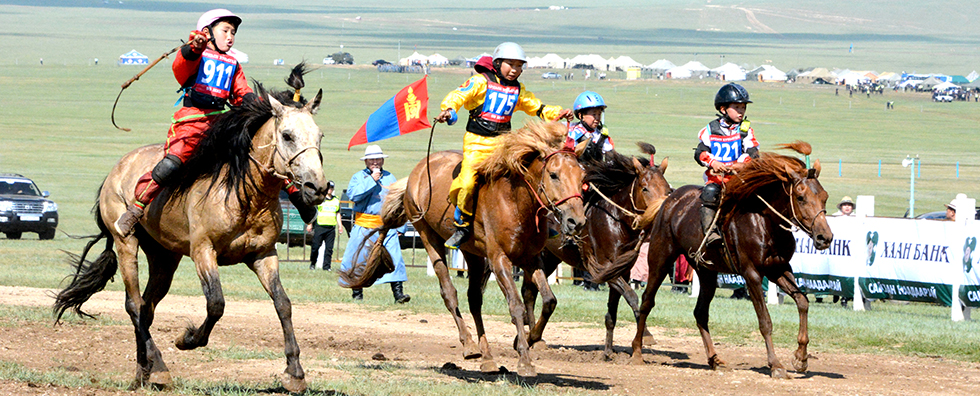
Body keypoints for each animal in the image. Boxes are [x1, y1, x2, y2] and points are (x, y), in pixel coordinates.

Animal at [53, 65, 328, 392]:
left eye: (320, 135)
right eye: (287, 135)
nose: (317, 187)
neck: (246, 192)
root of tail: (115, 171)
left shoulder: (264, 255)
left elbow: (283, 304)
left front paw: (295, 373)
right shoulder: (202, 251)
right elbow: (216, 303)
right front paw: (188, 339)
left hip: (164, 257)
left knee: (146, 308)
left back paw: (144, 370)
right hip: (126, 243)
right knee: (133, 304)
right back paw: (158, 367)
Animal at [340, 121, 584, 378]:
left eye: (582, 176)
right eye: (554, 174)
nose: (576, 221)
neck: (515, 202)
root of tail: (416, 174)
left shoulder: (531, 258)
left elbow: (549, 300)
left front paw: (526, 340)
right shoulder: (499, 259)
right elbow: (516, 305)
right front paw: (525, 361)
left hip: (472, 253)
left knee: (474, 298)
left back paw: (487, 358)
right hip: (428, 235)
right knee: (449, 292)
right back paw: (469, 345)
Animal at [520, 142, 672, 358]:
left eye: (667, 190)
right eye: (645, 188)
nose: (660, 215)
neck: (616, 222)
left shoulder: (622, 272)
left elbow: (612, 313)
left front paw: (608, 351)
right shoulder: (604, 270)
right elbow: (632, 297)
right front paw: (647, 335)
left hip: (550, 257)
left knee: (531, 290)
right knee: (528, 292)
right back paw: (535, 337)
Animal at [596, 142, 836, 378]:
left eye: (824, 196)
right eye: (801, 197)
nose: (824, 237)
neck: (764, 221)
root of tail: (668, 200)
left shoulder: (778, 269)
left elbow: (803, 302)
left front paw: (801, 357)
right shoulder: (752, 274)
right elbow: (765, 321)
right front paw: (776, 365)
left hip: (706, 272)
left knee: (700, 313)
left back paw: (714, 359)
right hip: (661, 258)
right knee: (646, 301)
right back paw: (637, 350)